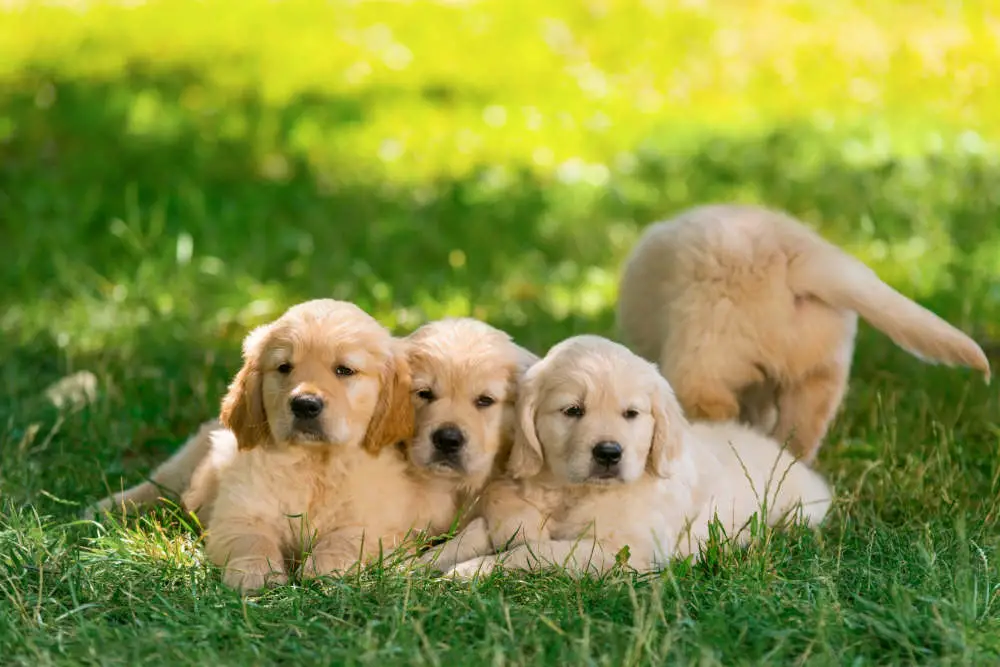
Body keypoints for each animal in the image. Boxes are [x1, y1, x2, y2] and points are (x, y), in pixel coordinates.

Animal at [426, 336, 832, 576]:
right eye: (573, 410)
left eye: (631, 414)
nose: (609, 453)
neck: (571, 493)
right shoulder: (508, 518)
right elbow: (468, 537)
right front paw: (419, 566)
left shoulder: (626, 551)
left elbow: (534, 552)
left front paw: (469, 572)